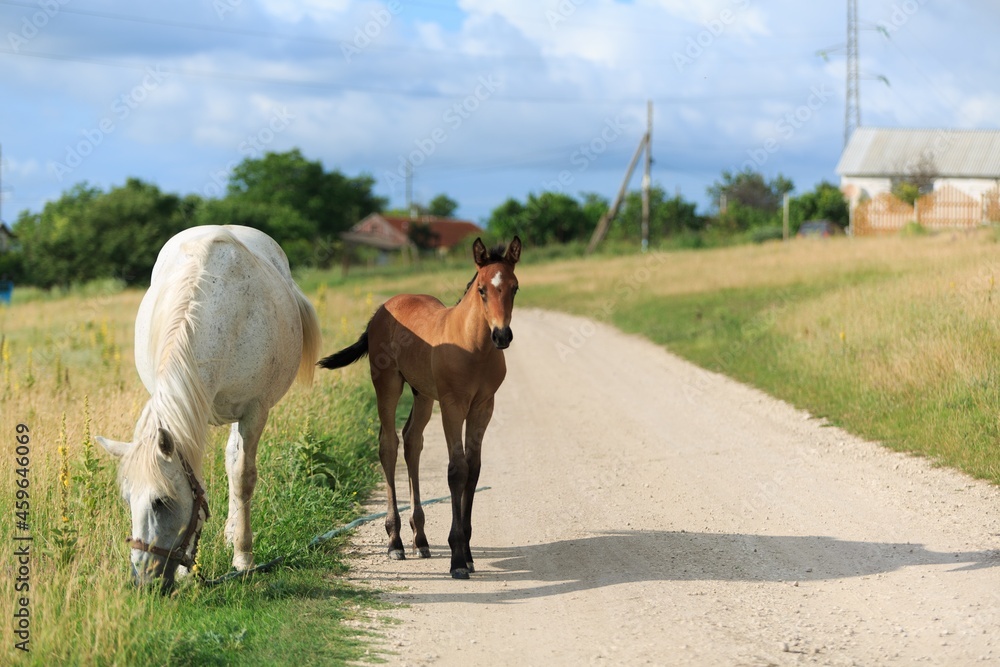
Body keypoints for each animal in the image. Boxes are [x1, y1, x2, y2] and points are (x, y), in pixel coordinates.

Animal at [97, 226, 320, 588]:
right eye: (128, 500)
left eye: (161, 502)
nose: (144, 582)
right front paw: (188, 570)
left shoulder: (254, 412)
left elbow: (243, 477)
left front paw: (244, 558)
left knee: (235, 464)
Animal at [320, 236, 524, 580]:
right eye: (482, 289)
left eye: (515, 287)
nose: (502, 335)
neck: (473, 347)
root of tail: (381, 310)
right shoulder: (453, 405)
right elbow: (457, 470)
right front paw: (457, 560)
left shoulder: (483, 406)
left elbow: (474, 469)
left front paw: (468, 554)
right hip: (387, 384)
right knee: (388, 445)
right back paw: (396, 542)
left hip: (424, 395)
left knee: (412, 440)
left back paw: (421, 539)